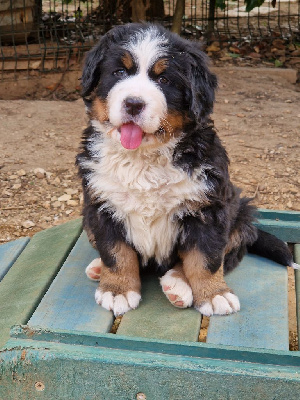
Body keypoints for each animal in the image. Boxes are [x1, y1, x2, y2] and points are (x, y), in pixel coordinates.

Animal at [77, 23, 298, 318]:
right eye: (119, 72)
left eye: (164, 80)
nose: (133, 103)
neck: (144, 156)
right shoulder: (102, 205)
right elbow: (116, 252)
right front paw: (118, 289)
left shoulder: (208, 209)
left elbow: (206, 258)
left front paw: (214, 295)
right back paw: (98, 267)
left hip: (239, 213)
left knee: (225, 255)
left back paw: (178, 284)